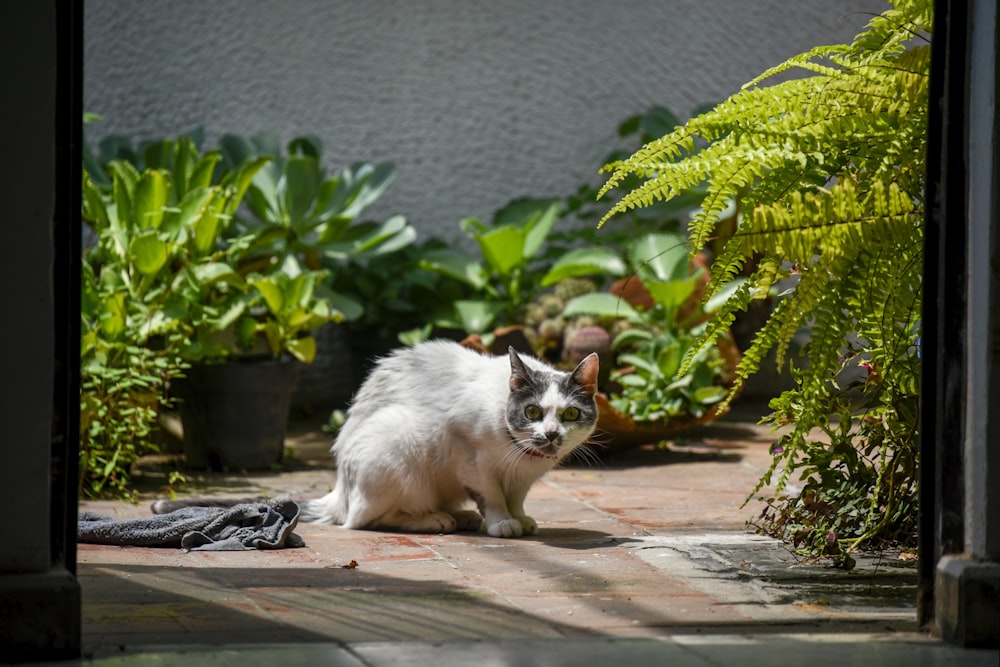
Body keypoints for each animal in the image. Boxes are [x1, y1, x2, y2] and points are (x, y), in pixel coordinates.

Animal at [302, 340, 600, 536]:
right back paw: (434, 519)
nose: (551, 433)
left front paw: (519, 517)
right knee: (366, 518)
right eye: (532, 411)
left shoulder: (523, 478)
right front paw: (502, 522)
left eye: (570, 413)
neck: (520, 455)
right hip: (397, 440)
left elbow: (516, 497)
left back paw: (461, 515)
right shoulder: (467, 453)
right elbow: (491, 494)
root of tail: (340, 491)